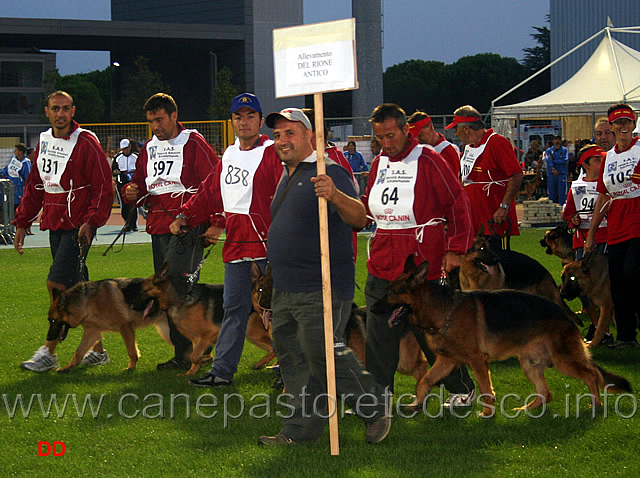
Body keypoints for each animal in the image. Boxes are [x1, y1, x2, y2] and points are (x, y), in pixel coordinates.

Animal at [142, 264, 276, 376]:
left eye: (143, 290)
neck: (182, 298)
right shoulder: (196, 340)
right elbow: (193, 357)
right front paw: (190, 373)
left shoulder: (207, 334)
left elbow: (194, 357)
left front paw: (203, 361)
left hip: (254, 333)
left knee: (273, 348)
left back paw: (261, 364)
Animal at [384, 256, 632, 416]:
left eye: (392, 293)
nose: (376, 307)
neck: (445, 310)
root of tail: (563, 313)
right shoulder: (447, 361)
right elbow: (425, 380)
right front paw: (417, 404)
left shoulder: (477, 361)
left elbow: (485, 389)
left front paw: (487, 414)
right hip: (530, 363)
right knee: (547, 392)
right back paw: (526, 409)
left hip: (564, 360)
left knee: (591, 375)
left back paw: (595, 405)